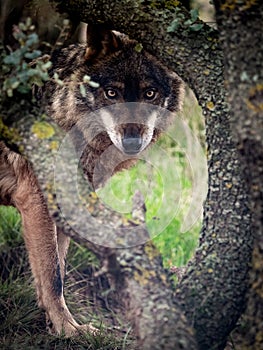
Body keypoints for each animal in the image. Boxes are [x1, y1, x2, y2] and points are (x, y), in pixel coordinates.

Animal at [0, 23, 185, 336]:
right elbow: (53, 276)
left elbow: (58, 270)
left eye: (149, 93)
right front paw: (67, 329)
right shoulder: (36, 202)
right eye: (111, 93)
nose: (132, 142)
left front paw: (58, 325)